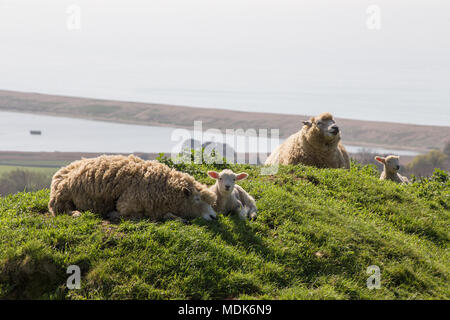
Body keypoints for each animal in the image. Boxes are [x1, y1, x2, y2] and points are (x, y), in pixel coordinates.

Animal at [49, 155, 218, 222]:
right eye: (197, 199)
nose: (214, 217)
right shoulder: (128, 205)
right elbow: (135, 215)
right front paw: (112, 214)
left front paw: (178, 218)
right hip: (61, 197)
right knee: (61, 210)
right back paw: (76, 213)